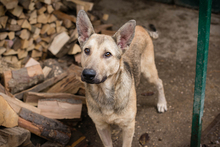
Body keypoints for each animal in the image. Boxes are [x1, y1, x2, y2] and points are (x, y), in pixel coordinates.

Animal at [76, 9, 168, 146]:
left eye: (107, 54)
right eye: (86, 50)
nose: (88, 74)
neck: (104, 93)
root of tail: (140, 27)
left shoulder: (128, 127)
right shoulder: (101, 126)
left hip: (149, 72)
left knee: (159, 82)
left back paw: (162, 103)